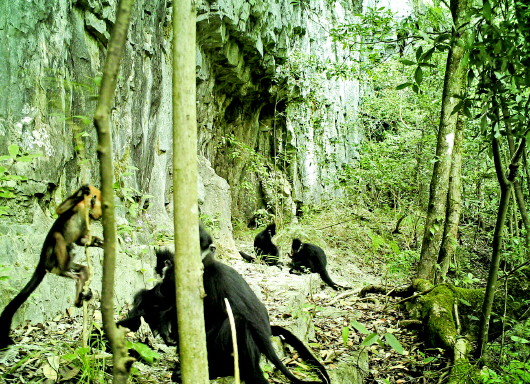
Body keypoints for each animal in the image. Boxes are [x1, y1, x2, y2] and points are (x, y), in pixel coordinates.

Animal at [0, 184, 103, 350]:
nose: (97, 216)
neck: (86, 210)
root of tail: (42, 261)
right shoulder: (77, 207)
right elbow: (59, 211)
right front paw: (83, 191)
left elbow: (82, 241)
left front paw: (98, 242)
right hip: (51, 258)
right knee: (57, 237)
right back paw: (64, 269)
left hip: (64, 263)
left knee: (82, 269)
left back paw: (79, 297)